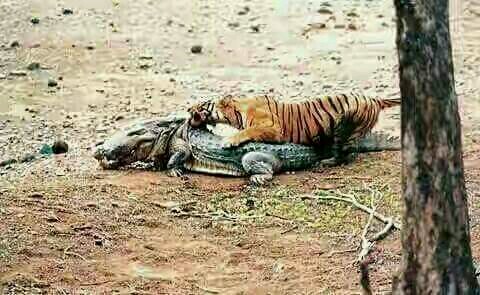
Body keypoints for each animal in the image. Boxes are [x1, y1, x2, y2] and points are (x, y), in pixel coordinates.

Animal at [188, 92, 402, 165]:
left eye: (202, 104)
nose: (188, 108)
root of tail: (375, 99)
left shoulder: (274, 128)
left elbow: (248, 131)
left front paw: (229, 141)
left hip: (348, 123)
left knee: (348, 151)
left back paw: (327, 162)